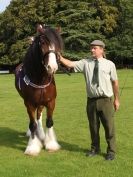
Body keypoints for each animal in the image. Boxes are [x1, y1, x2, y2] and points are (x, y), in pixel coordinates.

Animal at [14, 24, 62, 156]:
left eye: (58, 43)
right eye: (42, 43)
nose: (52, 67)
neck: (40, 80)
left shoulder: (51, 102)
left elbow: (49, 121)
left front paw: (51, 144)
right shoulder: (29, 103)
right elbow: (32, 124)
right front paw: (32, 147)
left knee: (39, 115)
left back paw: (41, 135)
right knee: (34, 120)